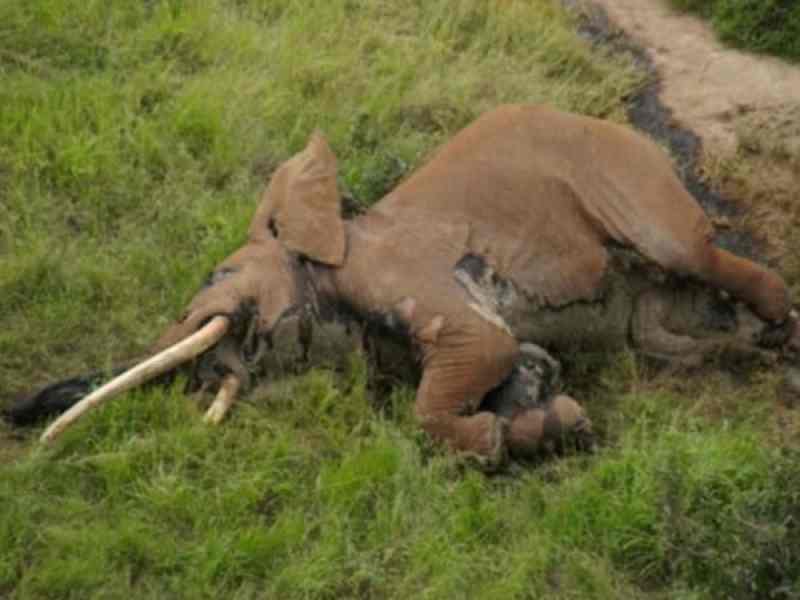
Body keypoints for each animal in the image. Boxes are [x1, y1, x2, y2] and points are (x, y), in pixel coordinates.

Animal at [7, 103, 800, 468]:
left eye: (217, 276)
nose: (21, 415)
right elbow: (518, 363)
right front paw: (552, 419)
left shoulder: (402, 272)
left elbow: (475, 353)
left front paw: (503, 438)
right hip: (648, 306)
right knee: (660, 333)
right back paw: (741, 346)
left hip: (629, 178)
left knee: (694, 252)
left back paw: (780, 334)